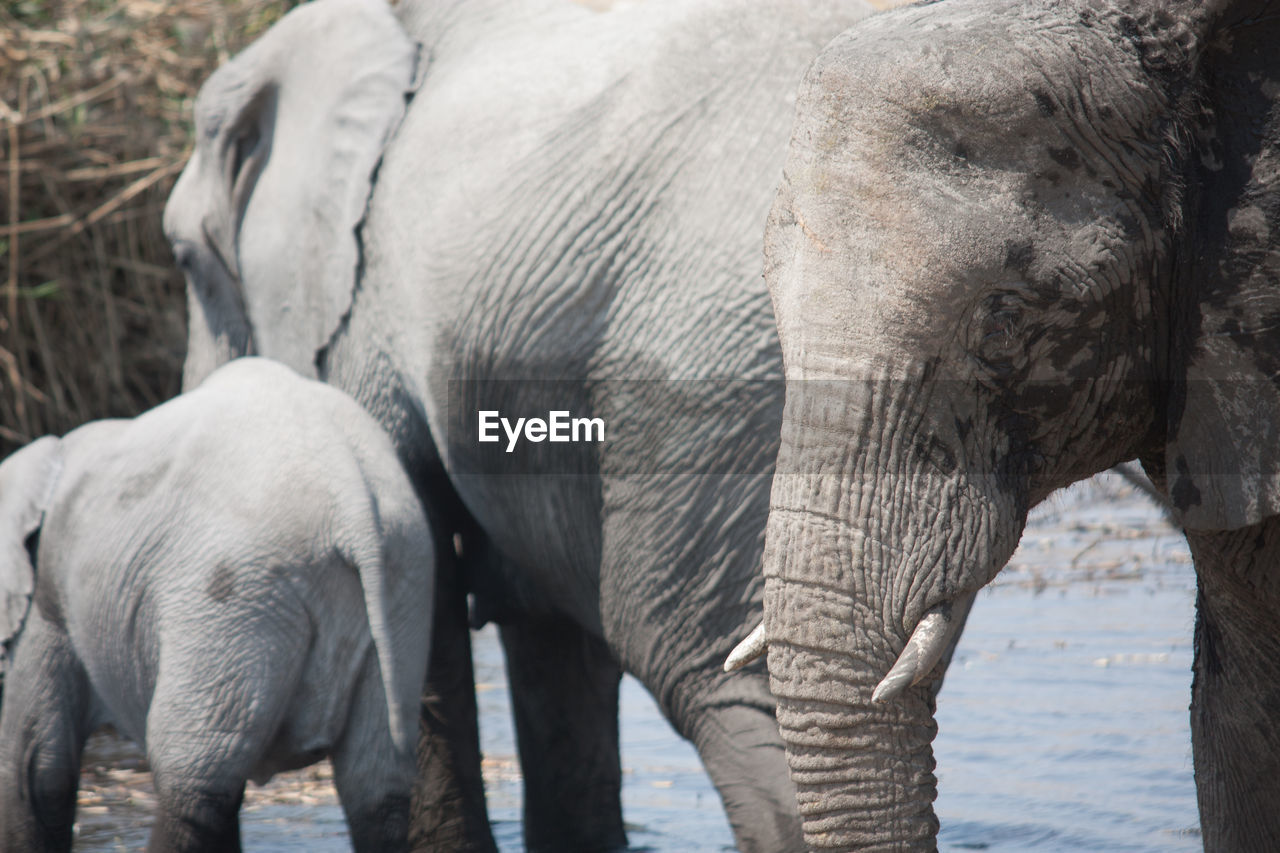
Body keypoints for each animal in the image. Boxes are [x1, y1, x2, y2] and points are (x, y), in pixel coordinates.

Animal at [0, 356, 432, 850]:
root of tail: (352, 500)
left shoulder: (47, 602)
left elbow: (36, 772)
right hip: (403, 581)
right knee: (375, 786)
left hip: (234, 595)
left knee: (194, 783)